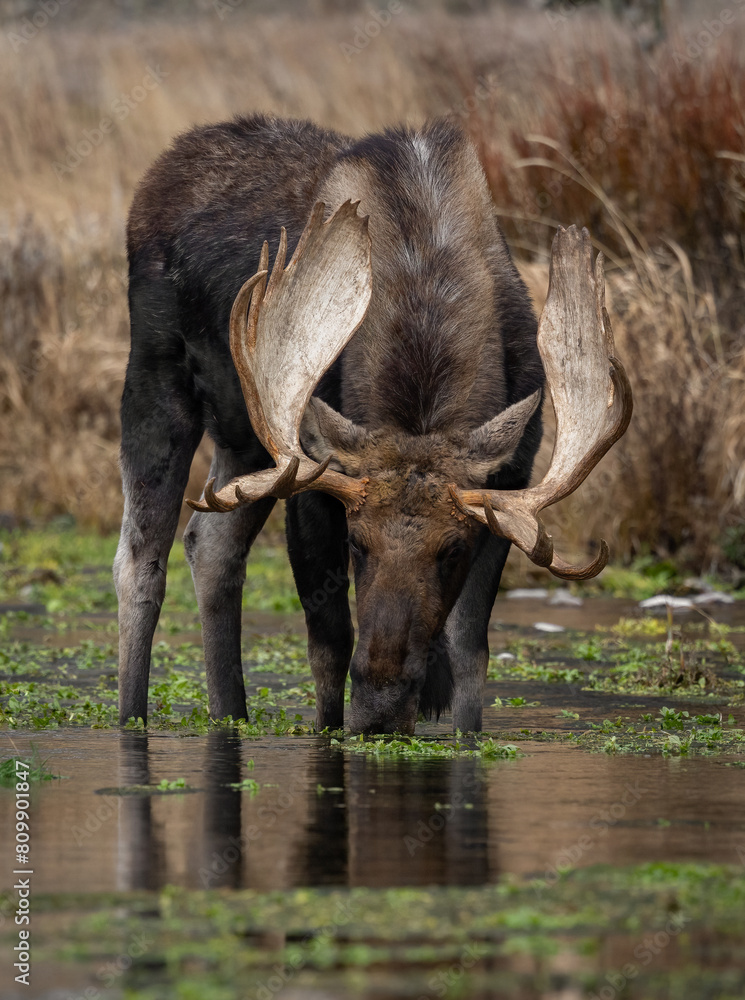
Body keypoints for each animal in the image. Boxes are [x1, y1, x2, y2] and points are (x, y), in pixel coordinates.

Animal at [115, 114, 632, 735]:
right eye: (357, 542)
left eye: (451, 550)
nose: (382, 709)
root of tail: (157, 175)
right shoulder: (313, 480)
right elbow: (330, 644)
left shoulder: (507, 489)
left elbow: (469, 651)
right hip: (156, 380)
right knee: (139, 563)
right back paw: (130, 718)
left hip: (251, 445)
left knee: (211, 544)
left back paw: (231, 714)